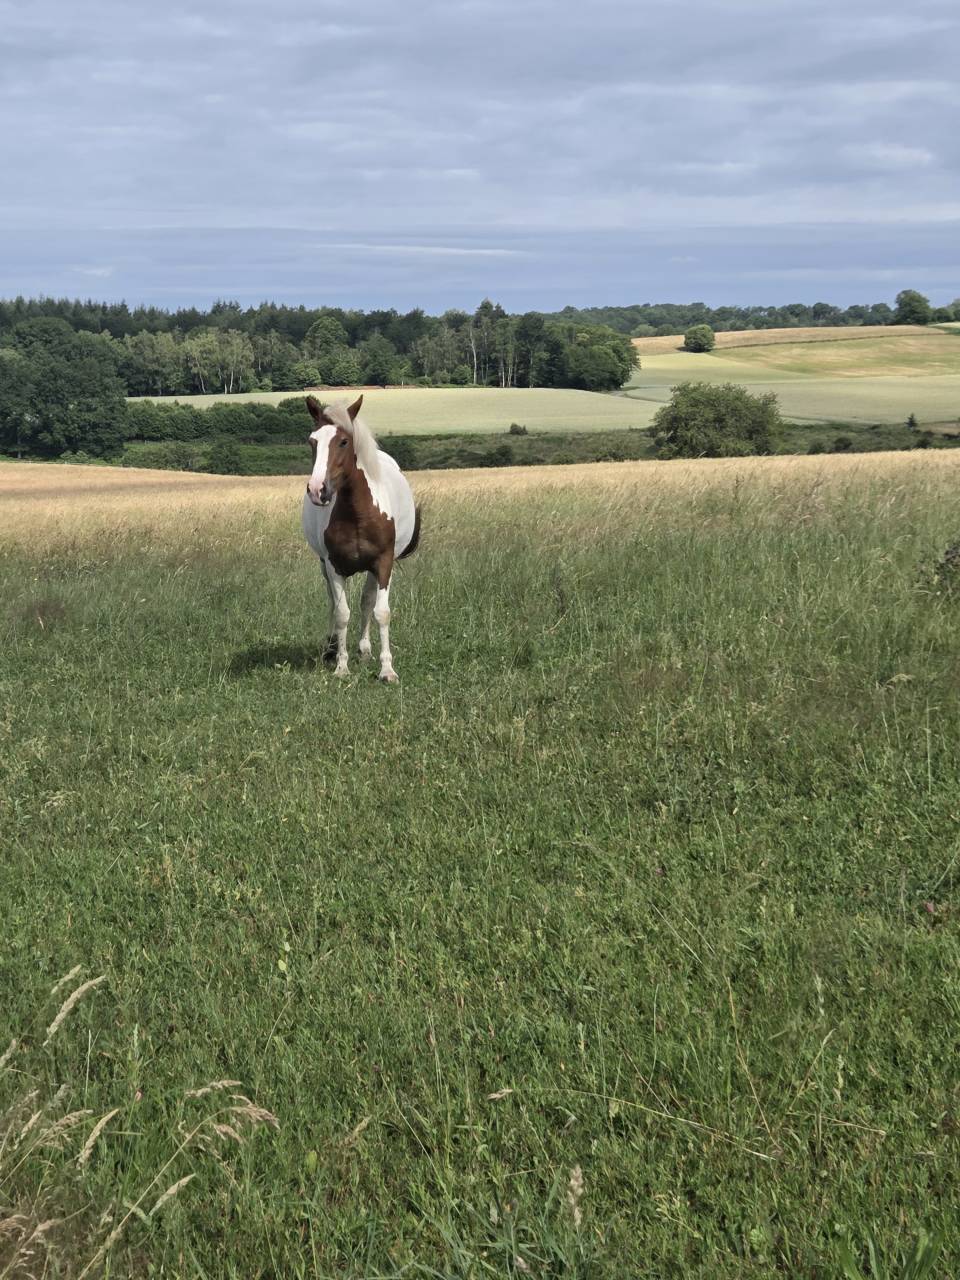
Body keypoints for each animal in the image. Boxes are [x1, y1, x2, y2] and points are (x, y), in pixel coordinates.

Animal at [301, 394, 421, 683]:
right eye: (312, 441)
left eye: (344, 441)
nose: (317, 490)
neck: (357, 512)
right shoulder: (332, 566)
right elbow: (342, 613)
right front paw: (341, 666)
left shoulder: (383, 563)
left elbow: (381, 611)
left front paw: (387, 669)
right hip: (324, 566)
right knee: (333, 603)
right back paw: (332, 647)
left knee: (367, 601)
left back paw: (365, 649)